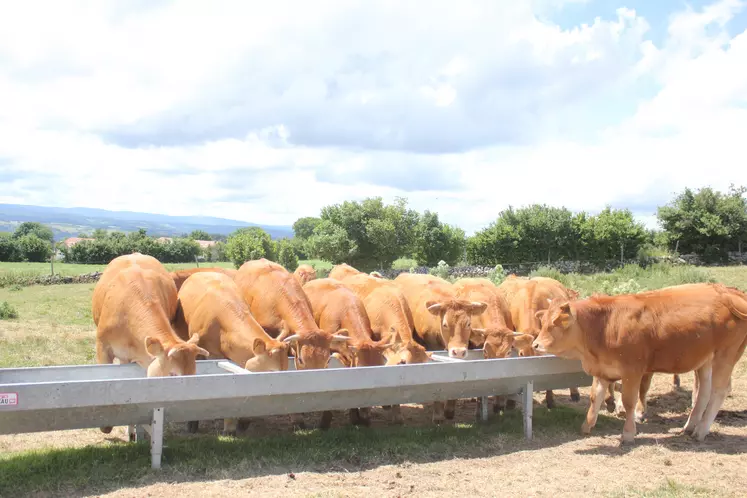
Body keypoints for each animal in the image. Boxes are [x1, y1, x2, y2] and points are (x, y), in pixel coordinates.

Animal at [536, 282, 747, 442]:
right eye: (543, 321)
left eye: (554, 323)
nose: (536, 344)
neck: (606, 324)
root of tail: (729, 292)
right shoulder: (602, 369)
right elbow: (595, 398)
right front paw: (587, 426)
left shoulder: (632, 371)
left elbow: (629, 401)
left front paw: (628, 433)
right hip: (705, 360)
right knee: (703, 391)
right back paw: (690, 426)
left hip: (725, 356)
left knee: (719, 390)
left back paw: (701, 430)